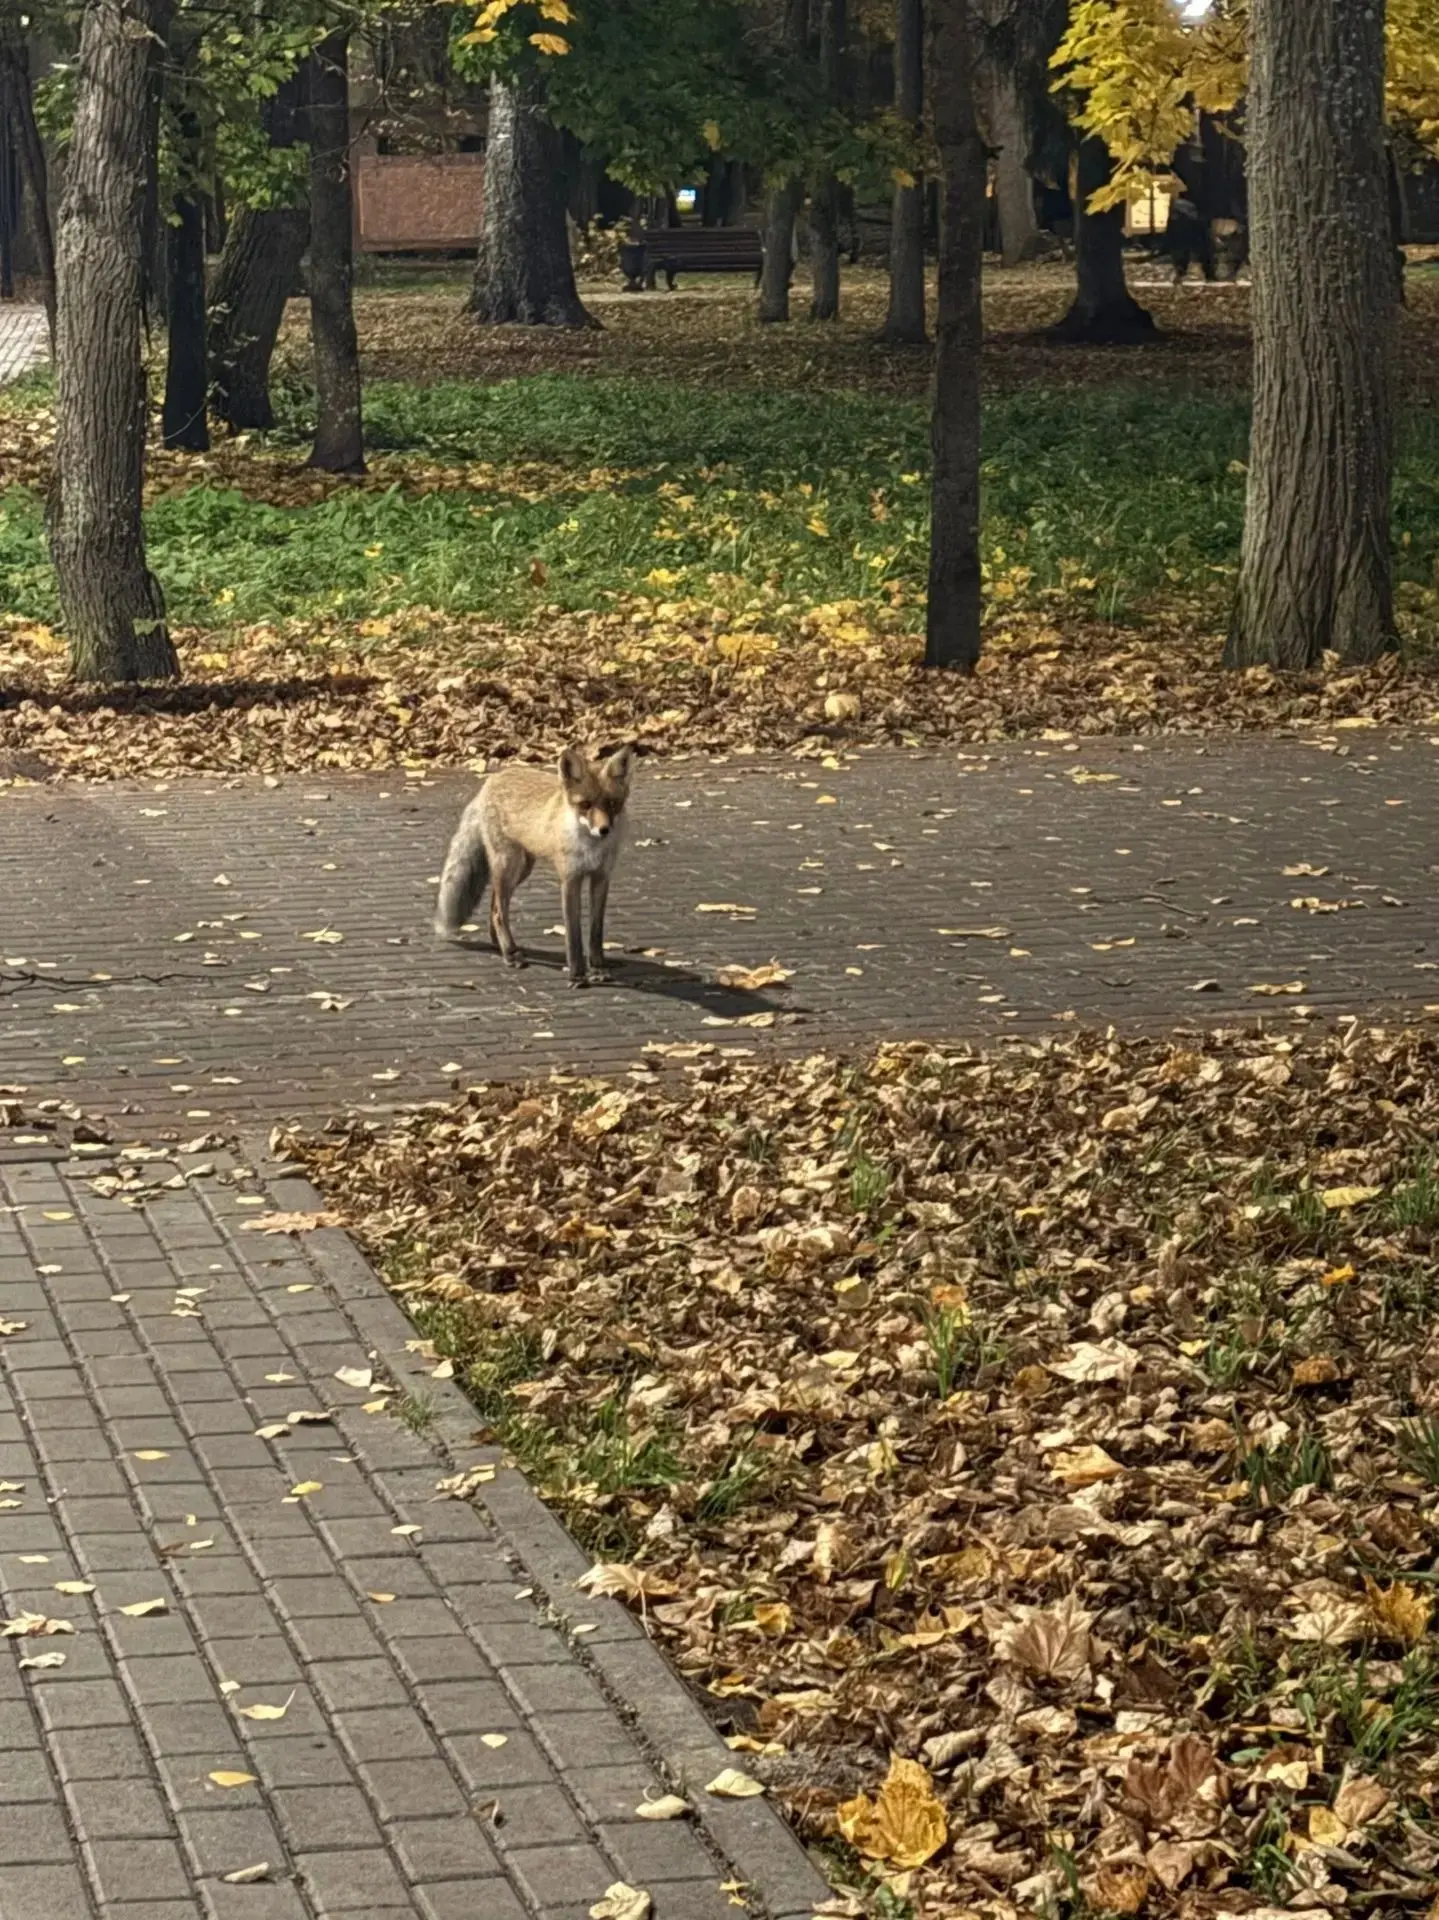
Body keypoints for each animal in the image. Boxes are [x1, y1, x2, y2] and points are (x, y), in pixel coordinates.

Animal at [434, 744, 637, 987]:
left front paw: (598, 969)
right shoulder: (570, 879)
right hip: (508, 864)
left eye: (612, 803)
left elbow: (596, 932)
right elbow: (573, 934)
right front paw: (577, 974)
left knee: (495, 903)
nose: (604, 830)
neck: (591, 848)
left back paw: (500, 944)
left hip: (521, 869)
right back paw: (510, 953)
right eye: (585, 805)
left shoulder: (601, 878)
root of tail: (491, 781)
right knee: (499, 910)